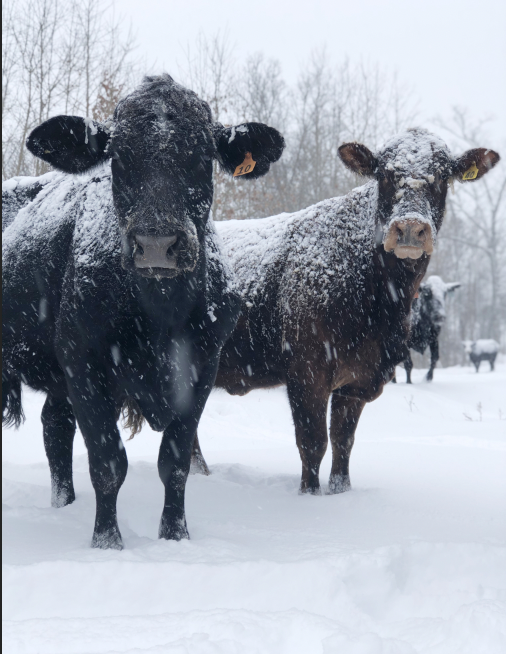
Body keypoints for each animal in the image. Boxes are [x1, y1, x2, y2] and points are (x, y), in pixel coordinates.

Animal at [2, 74, 284, 552]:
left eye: (203, 154)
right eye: (118, 156)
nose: (156, 243)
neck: (159, 315)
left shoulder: (202, 365)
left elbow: (175, 462)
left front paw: (175, 536)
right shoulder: (83, 361)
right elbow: (107, 462)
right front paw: (107, 543)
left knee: (55, 427)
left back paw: (64, 505)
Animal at [190, 128, 498, 498]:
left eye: (442, 176)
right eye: (384, 174)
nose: (410, 228)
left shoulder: (358, 381)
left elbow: (342, 442)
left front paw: (341, 492)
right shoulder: (307, 372)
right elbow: (312, 443)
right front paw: (309, 495)